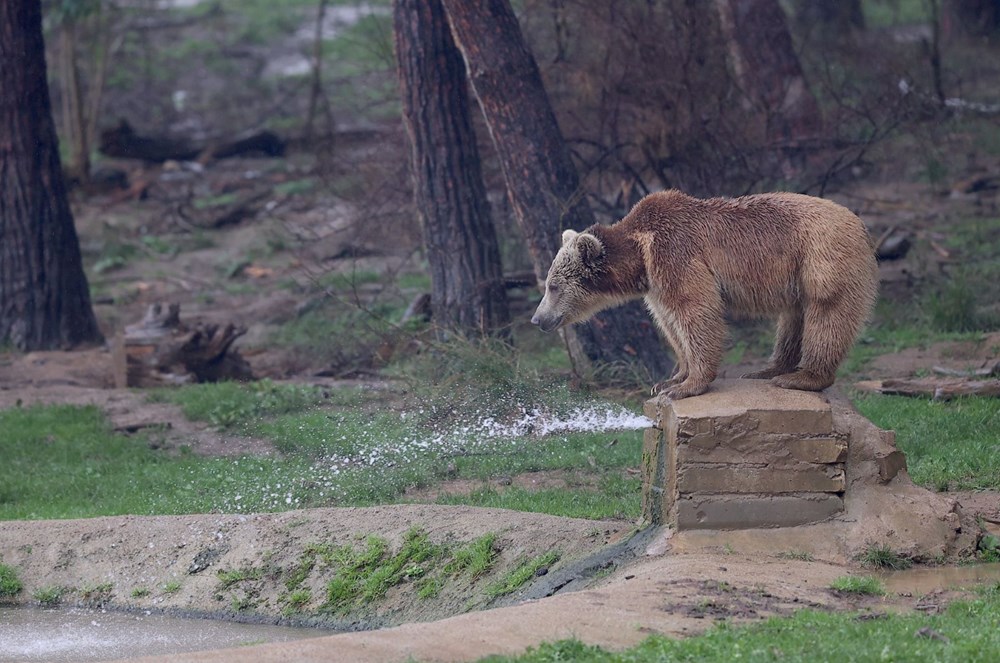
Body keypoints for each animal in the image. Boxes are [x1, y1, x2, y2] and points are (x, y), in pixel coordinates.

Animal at [532, 191, 876, 400]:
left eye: (553, 286)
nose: (538, 318)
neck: (640, 255)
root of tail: (860, 222)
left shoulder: (676, 254)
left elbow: (695, 311)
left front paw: (687, 385)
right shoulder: (656, 284)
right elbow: (671, 324)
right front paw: (670, 379)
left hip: (822, 256)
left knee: (827, 312)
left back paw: (802, 377)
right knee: (793, 318)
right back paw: (769, 369)